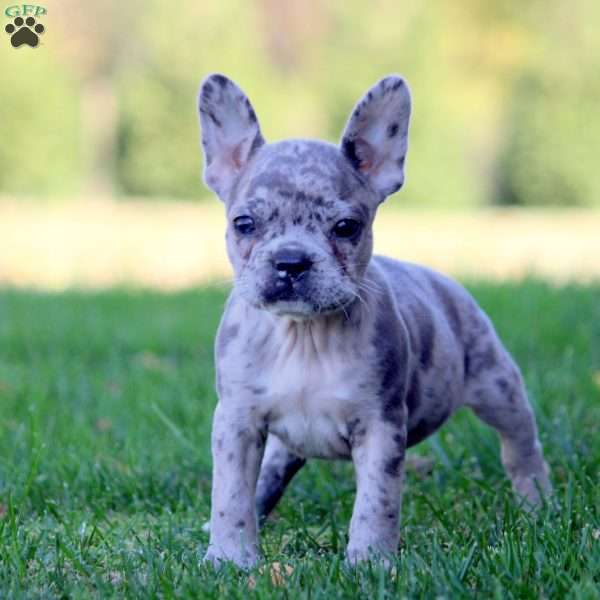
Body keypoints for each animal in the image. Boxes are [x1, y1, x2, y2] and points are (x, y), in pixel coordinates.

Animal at [196, 74, 548, 568]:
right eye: (243, 223)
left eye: (346, 227)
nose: (290, 261)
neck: (304, 335)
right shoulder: (237, 423)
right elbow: (230, 494)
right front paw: (229, 557)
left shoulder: (380, 426)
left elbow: (376, 501)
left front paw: (370, 562)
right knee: (267, 478)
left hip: (497, 385)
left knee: (520, 442)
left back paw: (538, 502)